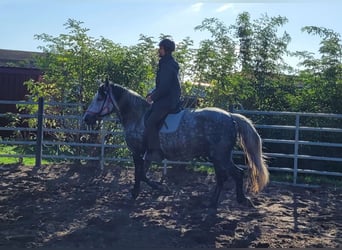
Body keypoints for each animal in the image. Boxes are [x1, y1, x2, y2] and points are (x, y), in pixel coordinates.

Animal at [83, 81, 270, 208]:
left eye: (99, 97)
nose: (86, 118)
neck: (137, 116)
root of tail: (231, 116)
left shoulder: (137, 152)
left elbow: (140, 174)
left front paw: (156, 189)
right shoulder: (147, 155)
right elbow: (142, 174)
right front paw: (145, 191)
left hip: (220, 156)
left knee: (237, 174)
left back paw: (242, 200)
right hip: (218, 157)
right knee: (222, 177)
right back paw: (212, 202)